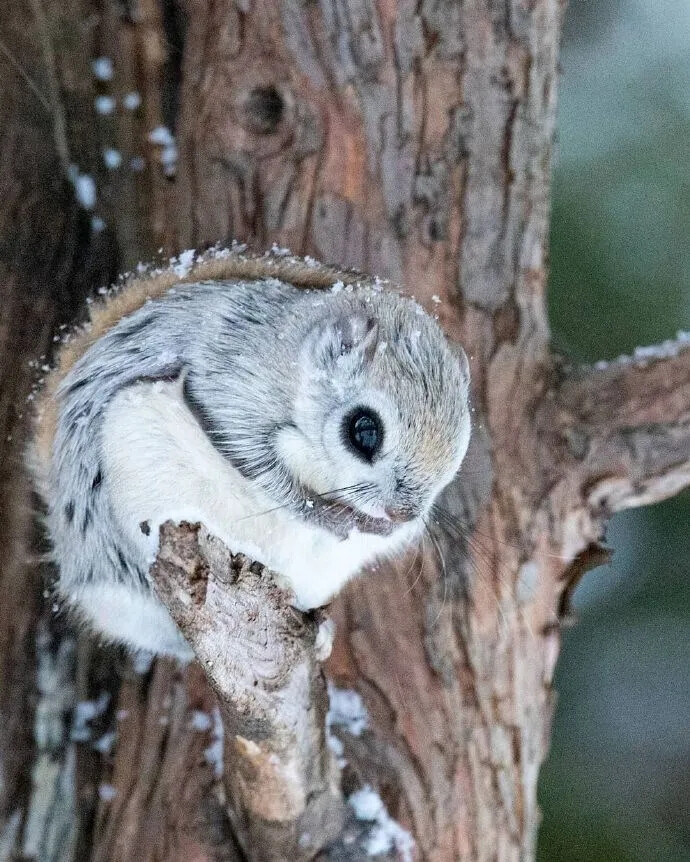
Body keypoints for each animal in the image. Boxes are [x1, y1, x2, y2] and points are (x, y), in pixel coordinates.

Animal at [26, 246, 470, 664]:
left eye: (461, 445)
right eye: (365, 430)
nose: (402, 515)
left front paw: (378, 527)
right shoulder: (231, 388)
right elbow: (259, 466)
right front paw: (328, 515)